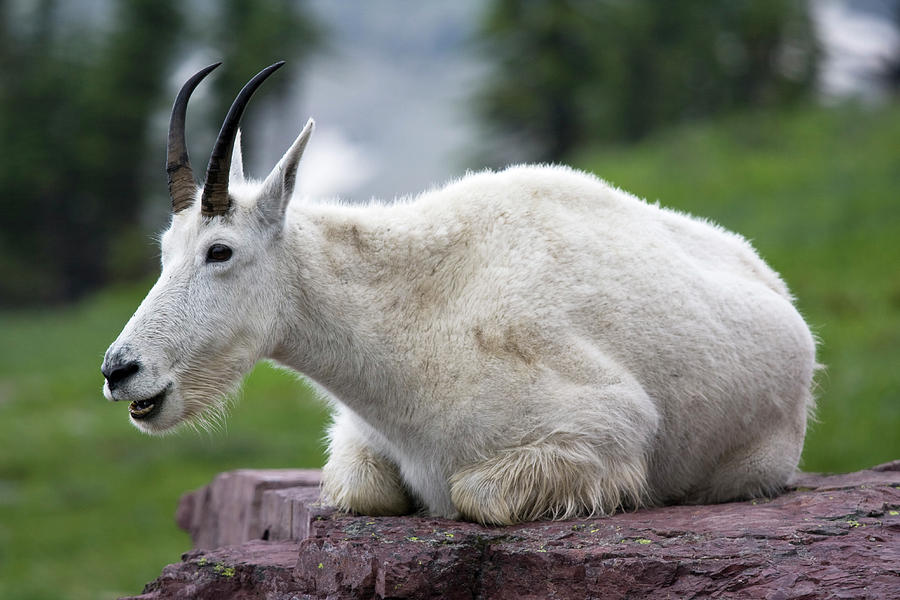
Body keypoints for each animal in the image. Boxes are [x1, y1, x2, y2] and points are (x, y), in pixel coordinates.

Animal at [102, 62, 820, 524]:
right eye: (165, 252)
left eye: (220, 251)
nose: (119, 370)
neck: (411, 321)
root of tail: (779, 290)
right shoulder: (358, 438)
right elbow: (362, 488)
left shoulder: (607, 425)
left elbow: (478, 495)